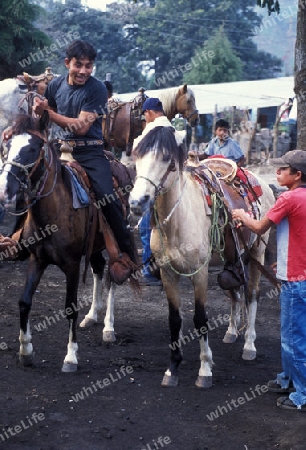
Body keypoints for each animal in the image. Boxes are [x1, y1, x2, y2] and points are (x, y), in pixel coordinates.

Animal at [128, 126, 274, 386]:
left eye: (167, 159)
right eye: (137, 158)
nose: (137, 202)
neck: (178, 221)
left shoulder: (200, 273)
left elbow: (200, 318)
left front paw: (205, 369)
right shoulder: (167, 273)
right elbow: (174, 319)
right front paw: (173, 368)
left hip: (257, 252)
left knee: (251, 295)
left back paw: (249, 345)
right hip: (233, 260)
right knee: (235, 293)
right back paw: (232, 332)